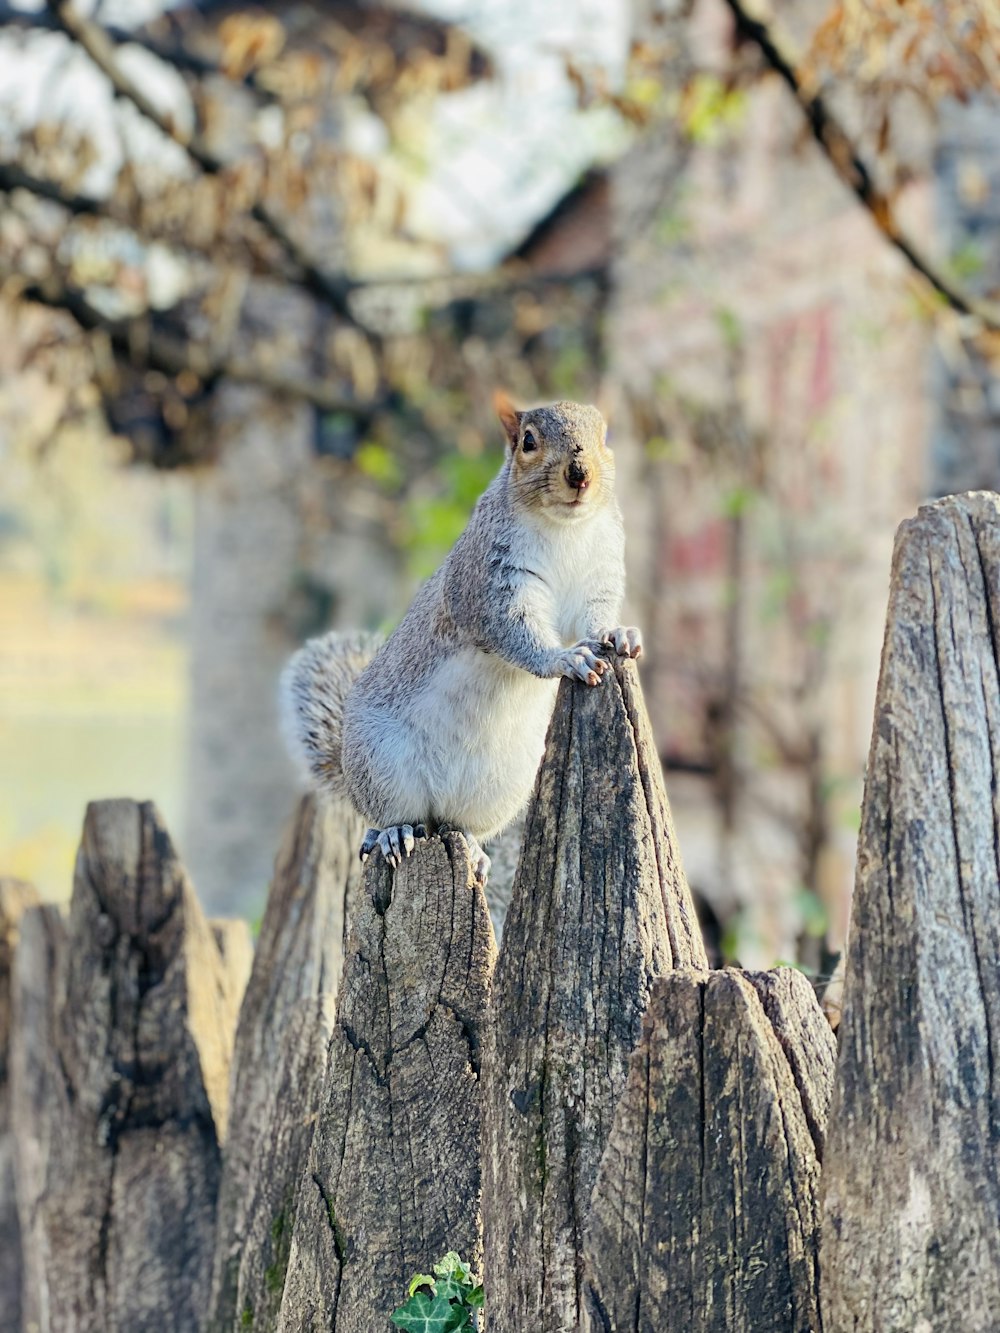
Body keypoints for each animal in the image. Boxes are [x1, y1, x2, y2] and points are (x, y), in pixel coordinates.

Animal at [282, 389, 642, 879]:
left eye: (605, 436)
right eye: (528, 442)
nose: (579, 475)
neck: (565, 529)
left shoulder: (599, 571)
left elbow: (596, 615)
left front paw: (618, 632)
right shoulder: (488, 582)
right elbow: (514, 631)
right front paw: (564, 658)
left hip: (502, 786)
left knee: (460, 824)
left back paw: (471, 846)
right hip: (381, 762)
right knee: (394, 814)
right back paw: (391, 832)